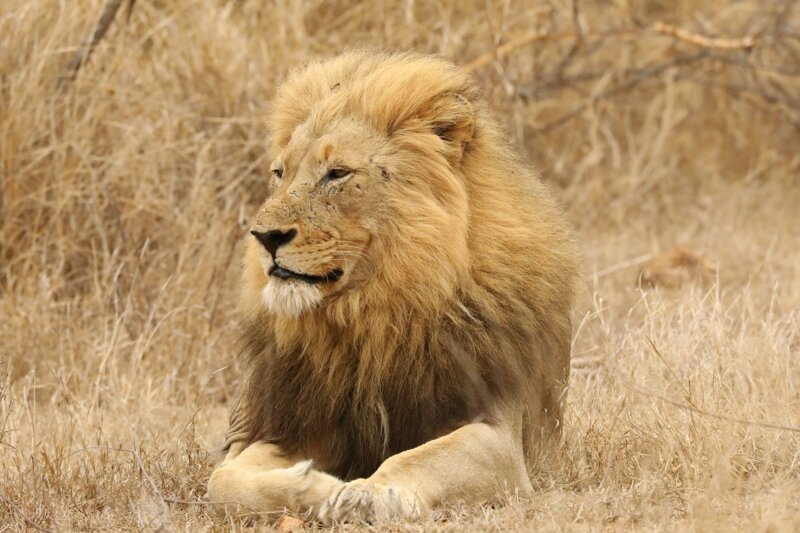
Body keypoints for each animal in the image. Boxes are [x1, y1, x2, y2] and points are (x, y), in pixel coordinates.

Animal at [207, 50, 579, 524]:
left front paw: (370, 493)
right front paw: (314, 486)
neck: (374, 309)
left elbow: (419, 458)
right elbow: (222, 482)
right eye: (279, 173)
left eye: (337, 173)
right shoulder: (291, 422)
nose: (264, 237)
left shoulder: (500, 433)